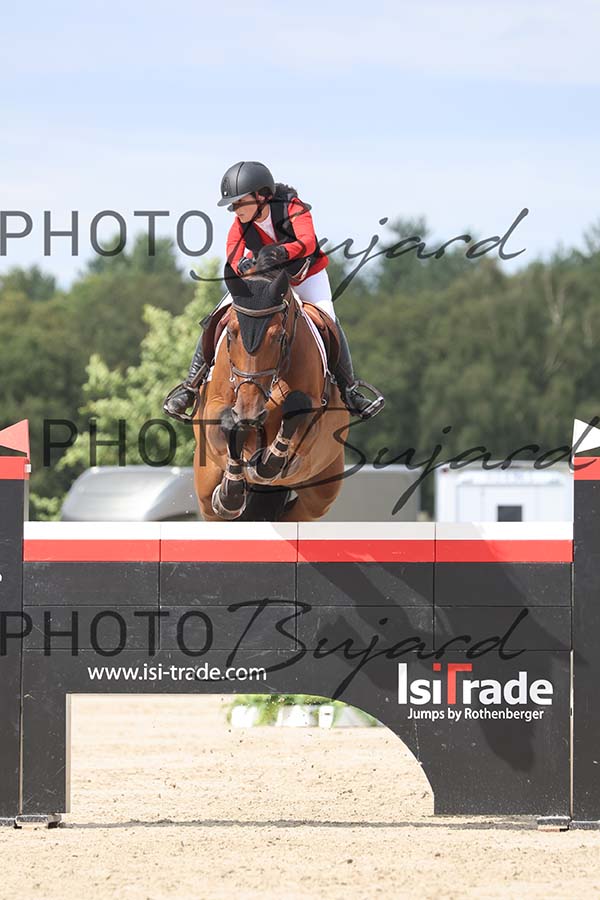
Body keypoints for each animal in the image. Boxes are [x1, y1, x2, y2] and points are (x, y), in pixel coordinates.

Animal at [191, 266, 350, 522]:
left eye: (277, 336)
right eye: (231, 333)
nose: (249, 410)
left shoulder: (314, 423)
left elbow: (297, 403)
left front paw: (268, 461)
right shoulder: (213, 407)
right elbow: (227, 422)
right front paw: (231, 492)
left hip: (321, 494)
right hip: (205, 484)